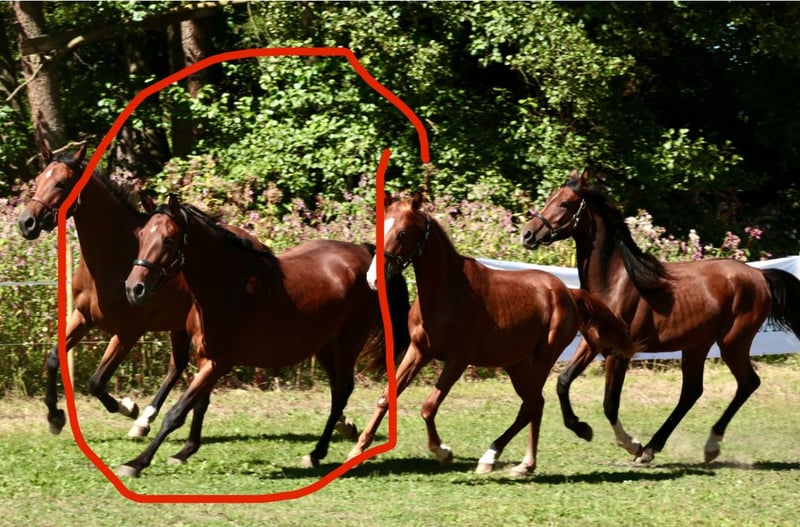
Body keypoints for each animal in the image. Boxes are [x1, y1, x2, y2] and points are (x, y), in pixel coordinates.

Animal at [119, 193, 403, 477]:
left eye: (168, 239)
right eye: (141, 235)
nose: (134, 288)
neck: (227, 285)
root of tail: (365, 254)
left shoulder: (218, 363)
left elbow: (176, 413)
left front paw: (136, 462)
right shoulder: (205, 357)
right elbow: (199, 404)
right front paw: (185, 451)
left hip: (347, 345)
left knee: (342, 392)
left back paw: (316, 453)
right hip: (325, 348)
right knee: (337, 392)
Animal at [347, 191, 636, 476]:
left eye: (402, 233)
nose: (373, 279)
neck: (446, 291)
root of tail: (568, 293)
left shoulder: (458, 360)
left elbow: (429, 407)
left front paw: (443, 451)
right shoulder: (419, 351)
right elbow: (386, 398)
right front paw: (357, 451)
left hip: (542, 359)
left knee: (530, 406)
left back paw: (499, 457)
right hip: (517, 365)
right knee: (536, 404)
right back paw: (522, 463)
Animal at [520, 169, 800, 463]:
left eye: (565, 203)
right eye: (550, 198)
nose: (527, 234)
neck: (614, 283)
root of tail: (760, 275)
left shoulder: (620, 353)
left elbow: (610, 404)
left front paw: (631, 444)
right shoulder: (593, 343)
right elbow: (563, 382)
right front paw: (581, 428)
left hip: (733, 343)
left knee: (747, 383)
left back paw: (707, 445)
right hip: (697, 345)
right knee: (692, 392)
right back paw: (654, 447)